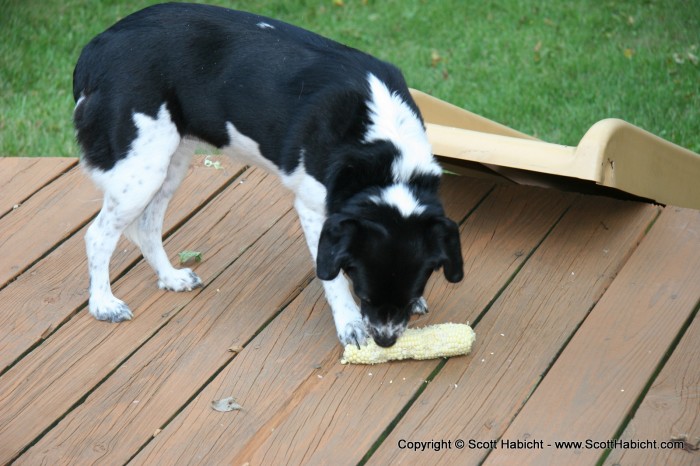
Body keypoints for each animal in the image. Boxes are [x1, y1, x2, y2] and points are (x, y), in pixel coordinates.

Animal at [74, 2, 462, 346]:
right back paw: (103, 304)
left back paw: (170, 277)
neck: (386, 157)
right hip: (142, 166)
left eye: (414, 289)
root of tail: (96, 46)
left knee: (147, 226)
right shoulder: (313, 208)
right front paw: (350, 324)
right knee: (97, 234)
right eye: (365, 292)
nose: (385, 342)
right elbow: (333, 279)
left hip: (169, 161)